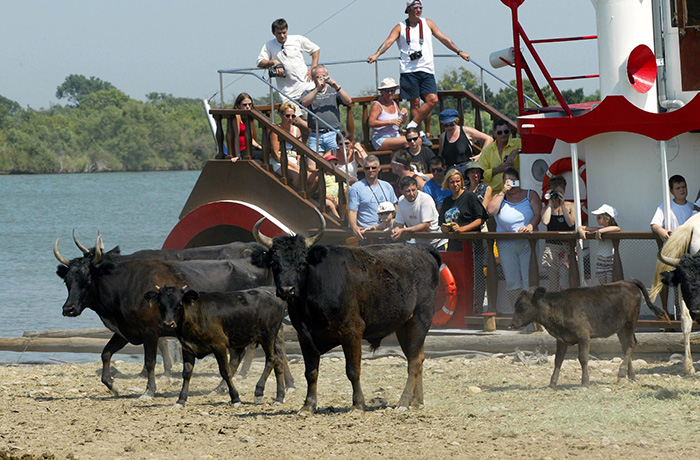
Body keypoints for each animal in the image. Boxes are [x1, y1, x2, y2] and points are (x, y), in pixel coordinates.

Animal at [54, 235, 268, 398]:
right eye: (67, 281)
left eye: (87, 280)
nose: (68, 309)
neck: (124, 285)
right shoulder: (125, 331)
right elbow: (106, 353)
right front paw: (113, 386)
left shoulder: (149, 331)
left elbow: (150, 361)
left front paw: (149, 391)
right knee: (237, 355)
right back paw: (220, 388)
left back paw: (223, 387)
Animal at [250, 213, 438, 414]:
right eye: (274, 263)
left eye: (302, 263)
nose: (287, 289)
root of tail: (422, 250)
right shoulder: (304, 336)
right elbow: (311, 373)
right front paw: (308, 405)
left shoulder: (352, 331)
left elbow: (353, 370)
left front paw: (358, 404)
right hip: (405, 327)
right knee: (418, 357)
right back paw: (417, 400)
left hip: (419, 321)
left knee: (414, 361)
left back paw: (403, 402)